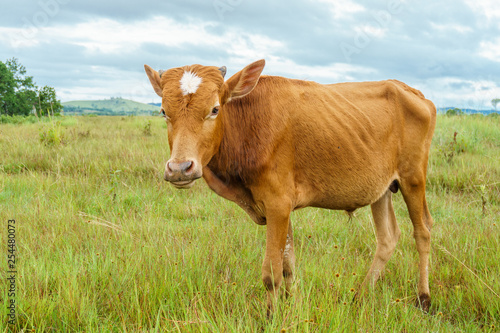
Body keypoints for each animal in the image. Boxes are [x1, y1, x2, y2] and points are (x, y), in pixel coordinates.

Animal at [143, 59, 436, 314]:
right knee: (387, 238)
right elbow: (288, 264)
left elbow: (271, 272)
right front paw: (290, 303)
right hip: (382, 189)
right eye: (164, 112)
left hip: (413, 178)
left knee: (422, 232)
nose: (180, 168)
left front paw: (271, 315)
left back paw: (423, 298)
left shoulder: (277, 205)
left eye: (214, 109)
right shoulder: (279, 208)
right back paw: (361, 295)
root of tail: (412, 91)